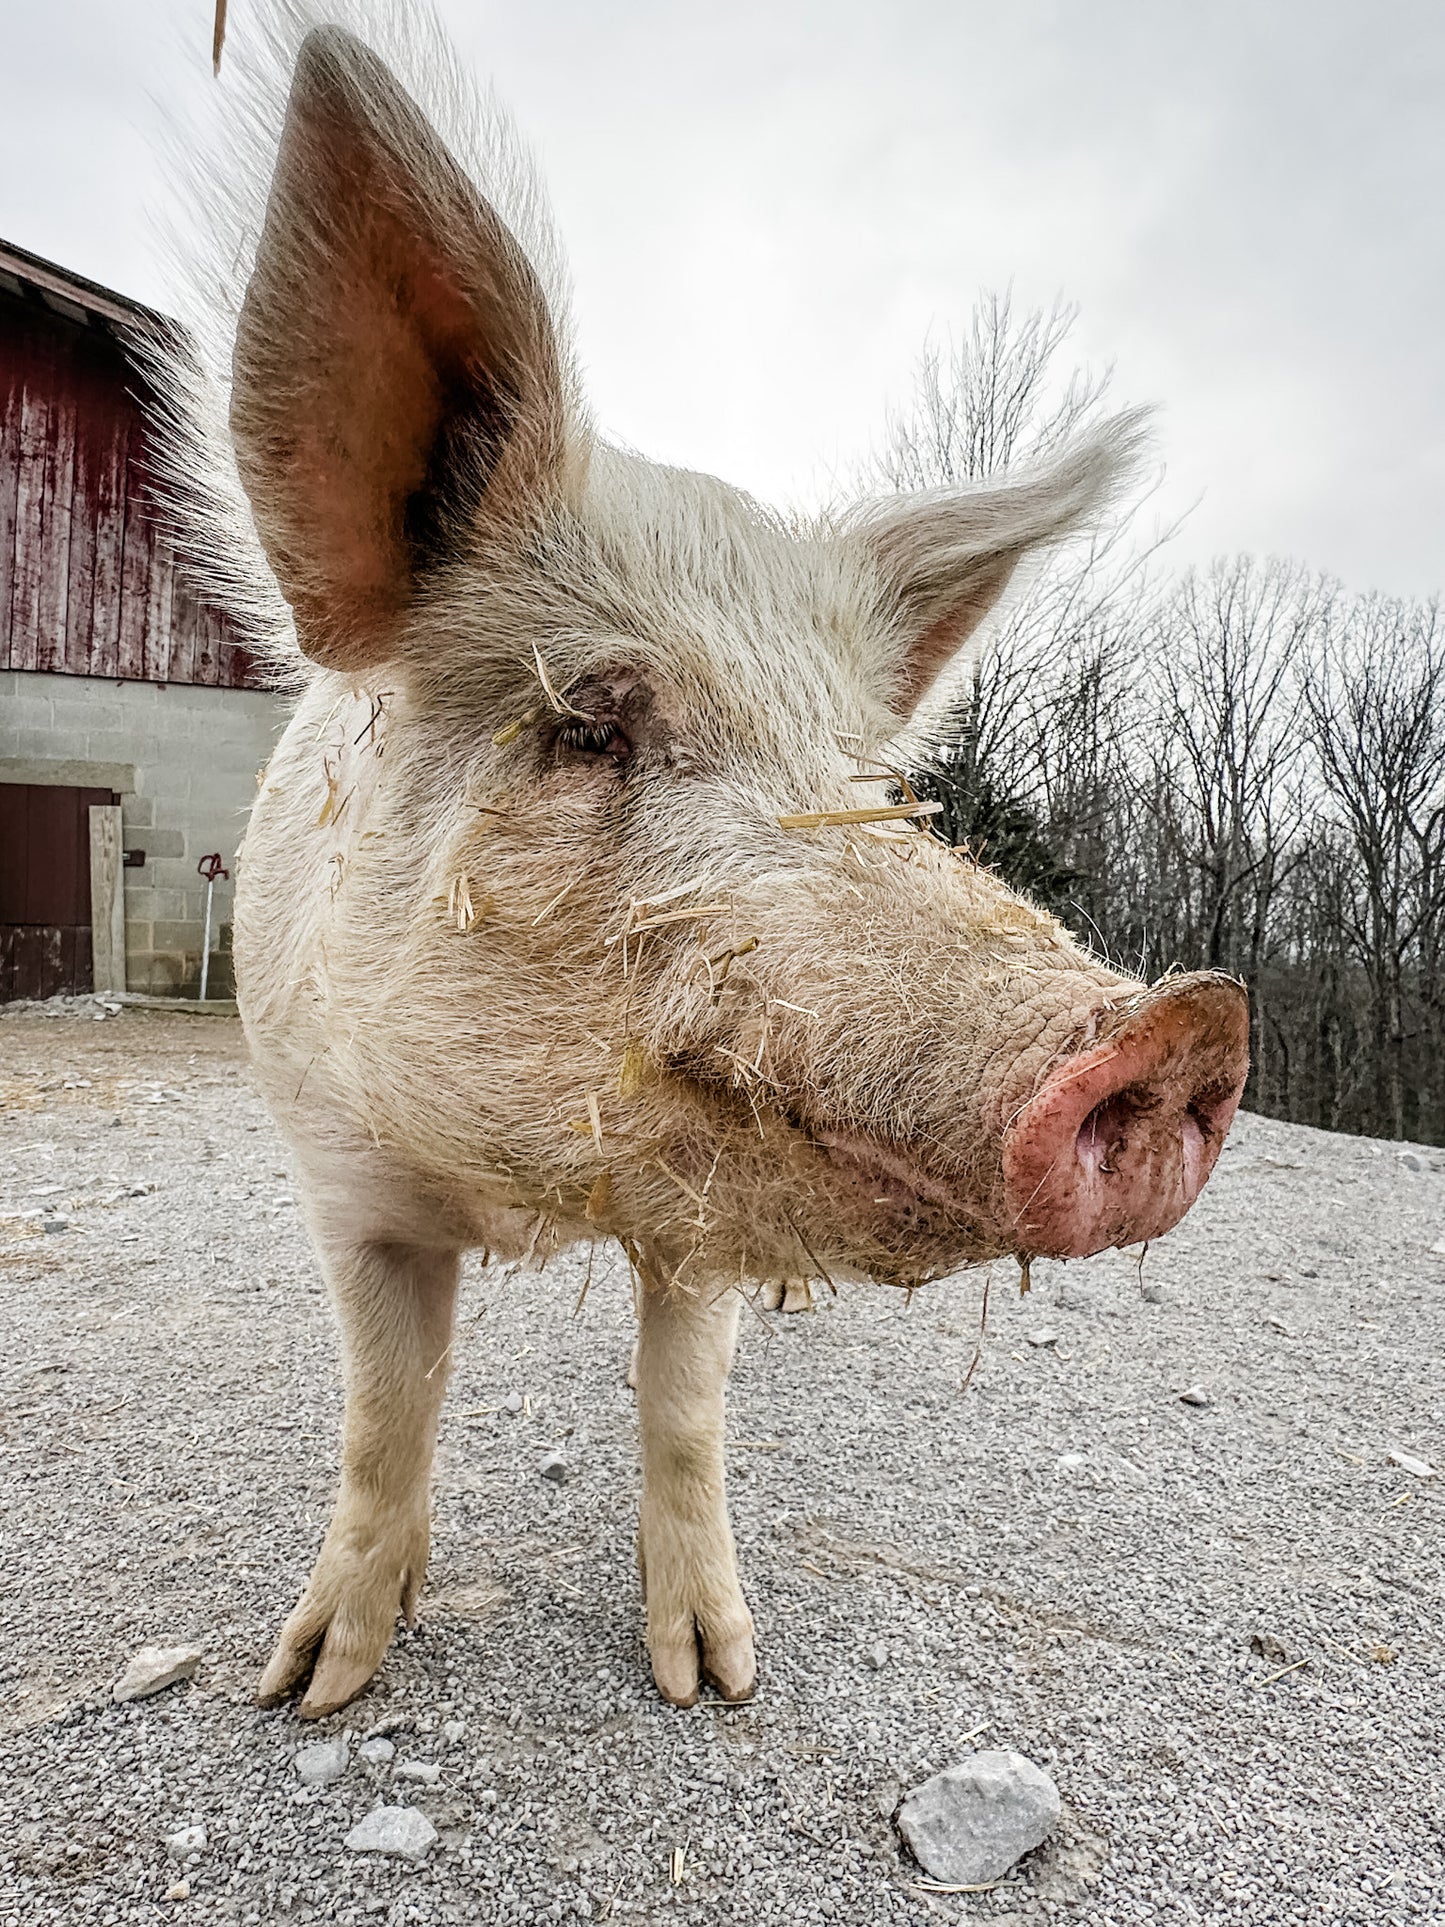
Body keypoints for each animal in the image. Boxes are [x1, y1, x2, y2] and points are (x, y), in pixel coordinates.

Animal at [154, 9, 1248, 1717]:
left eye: (871, 783)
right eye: (591, 722)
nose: (1186, 1024)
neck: (523, 1193)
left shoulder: (698, 1219)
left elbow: (682, 1409)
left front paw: (712, 1679)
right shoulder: (344, 1175)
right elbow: (383, 1415)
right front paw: (308, 1683)